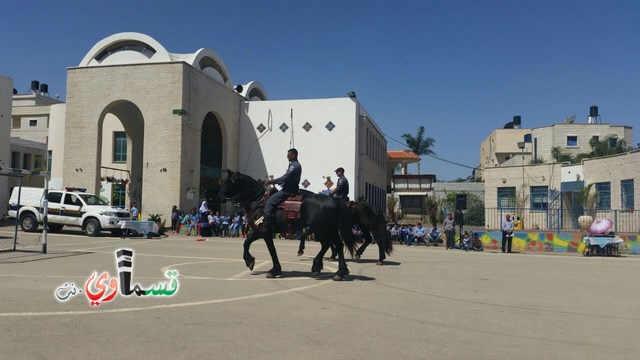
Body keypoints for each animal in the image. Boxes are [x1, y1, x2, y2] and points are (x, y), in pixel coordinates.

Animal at [221, 169, 358, 282]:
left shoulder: (263, 231)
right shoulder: (265, 232)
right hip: (329, 230)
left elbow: (252, 244)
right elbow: (265, 248)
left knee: (329, 244)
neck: (257, 201)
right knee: (336, 245)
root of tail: (334, 200)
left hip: (322, 230)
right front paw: (274, 269)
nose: (220, 196)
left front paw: (253, 262)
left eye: (228, 182)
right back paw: (336, 270)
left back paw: (324, 268)